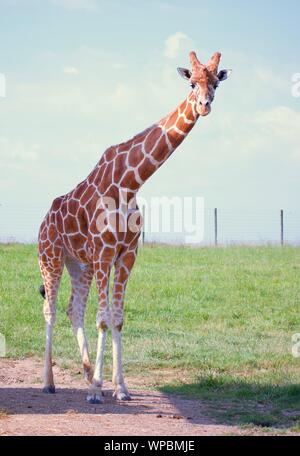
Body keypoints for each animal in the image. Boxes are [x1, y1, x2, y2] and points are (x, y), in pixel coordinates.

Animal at [37, 50, 230, 402]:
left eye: (215, 83)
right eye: (191, 83)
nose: (204, 105)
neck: (130, 183)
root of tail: (44, 220)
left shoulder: (126, 254)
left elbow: (118, 319)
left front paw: (119, 387)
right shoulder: (104, 252)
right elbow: (103, 319)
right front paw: (97, 391)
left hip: (79, 264)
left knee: (73, 309)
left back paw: (86, 372)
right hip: (51, 257)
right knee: (51, 309)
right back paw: (49, 382)